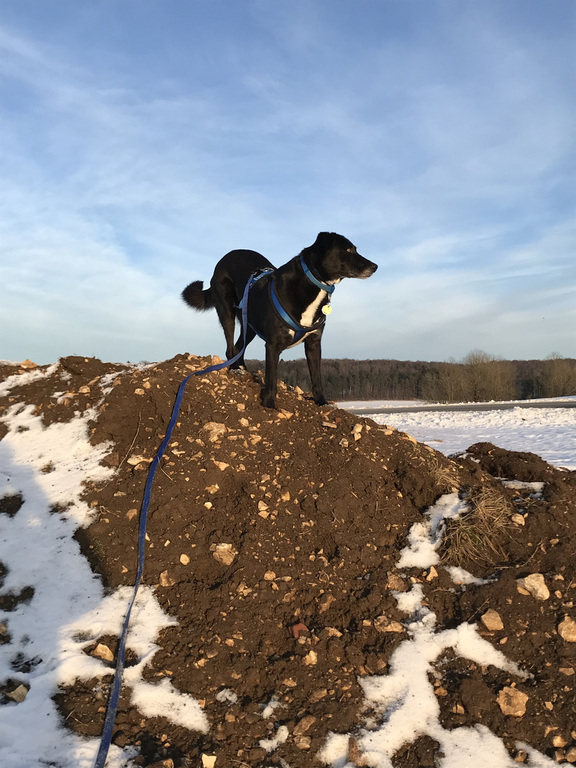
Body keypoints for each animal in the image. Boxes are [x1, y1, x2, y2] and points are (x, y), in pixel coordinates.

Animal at [182, 232, 377, 408]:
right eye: (348, 249)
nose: (375, 266)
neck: (312, 282)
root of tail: (226, 257)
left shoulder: (314, 343)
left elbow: (317, 377)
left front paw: (322, 402)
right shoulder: (273, 345)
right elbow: (271, 379)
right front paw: (268, 405)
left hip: (250, 324)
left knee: (239, 347)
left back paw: (244, 370)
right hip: (226, 311)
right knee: (230, 347)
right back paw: (234, 369)